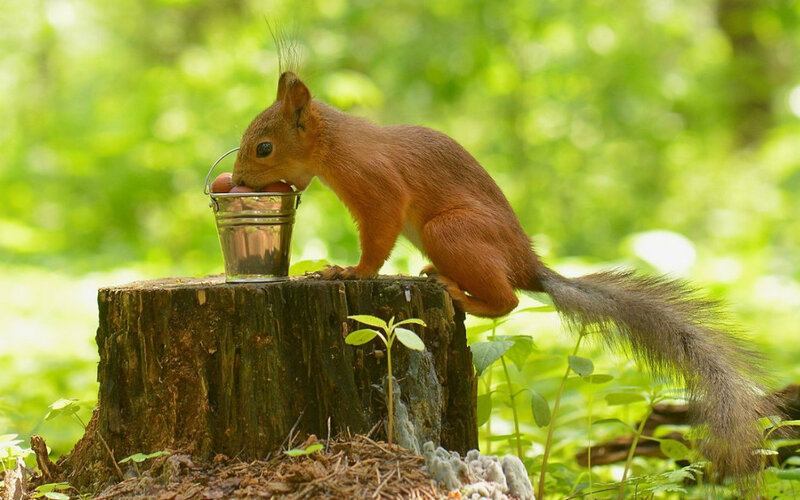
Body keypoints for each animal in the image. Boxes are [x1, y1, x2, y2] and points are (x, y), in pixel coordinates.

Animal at [231, 71, 777, 477]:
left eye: (264, 148)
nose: (236, 181)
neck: (338, 145)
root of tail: (529, 266)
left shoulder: (379, 188)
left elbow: (377, 243)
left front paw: (347, 270)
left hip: (450, 230)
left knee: (509, 300)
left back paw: (456, 290)